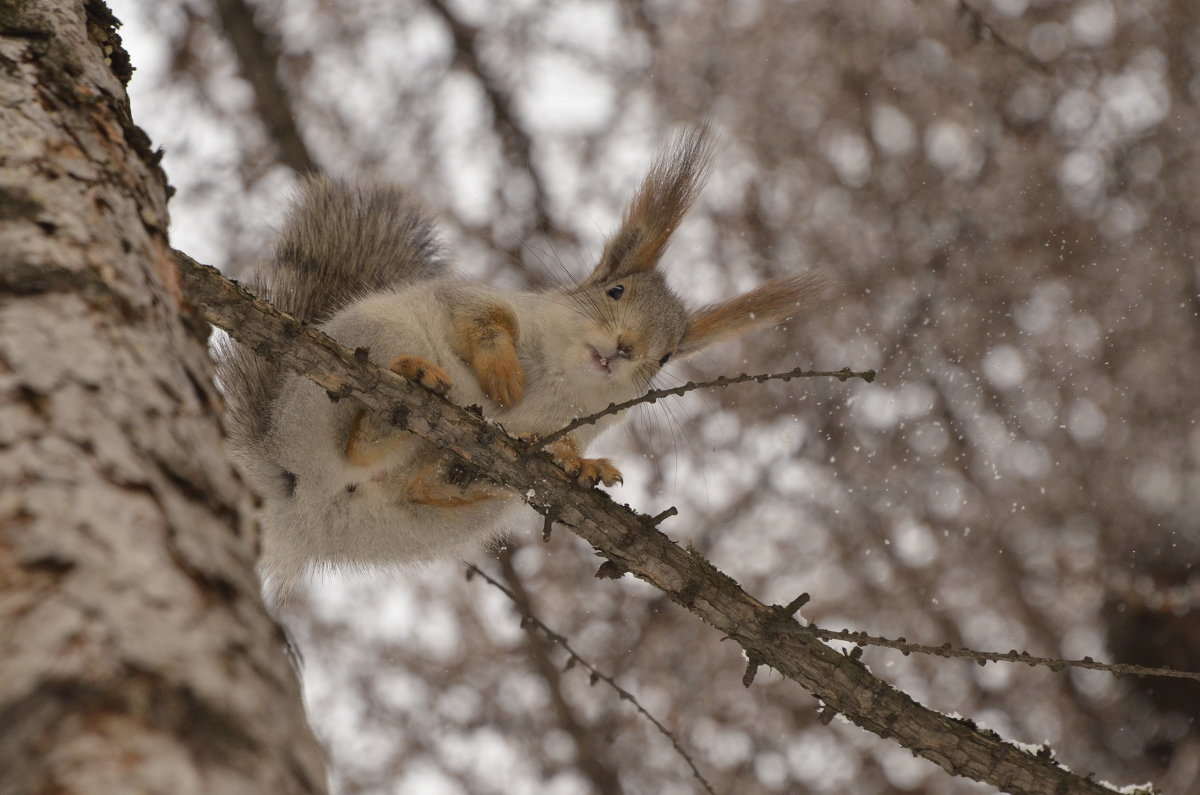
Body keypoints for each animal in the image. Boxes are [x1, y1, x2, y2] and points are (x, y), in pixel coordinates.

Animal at [218, 127, 835, 600]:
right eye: (613, 291)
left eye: (665, 357)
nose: (625, 349)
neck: (563, 381)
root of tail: (300, 506)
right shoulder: (480, 302)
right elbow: (485, 319)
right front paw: (503, 371)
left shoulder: (574, 423)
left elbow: (566, 444)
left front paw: (581, 465)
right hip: (368, 345)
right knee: (357, 434)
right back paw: (411, 383)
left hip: (450, 509)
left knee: (420, 485)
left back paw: (451, 466)